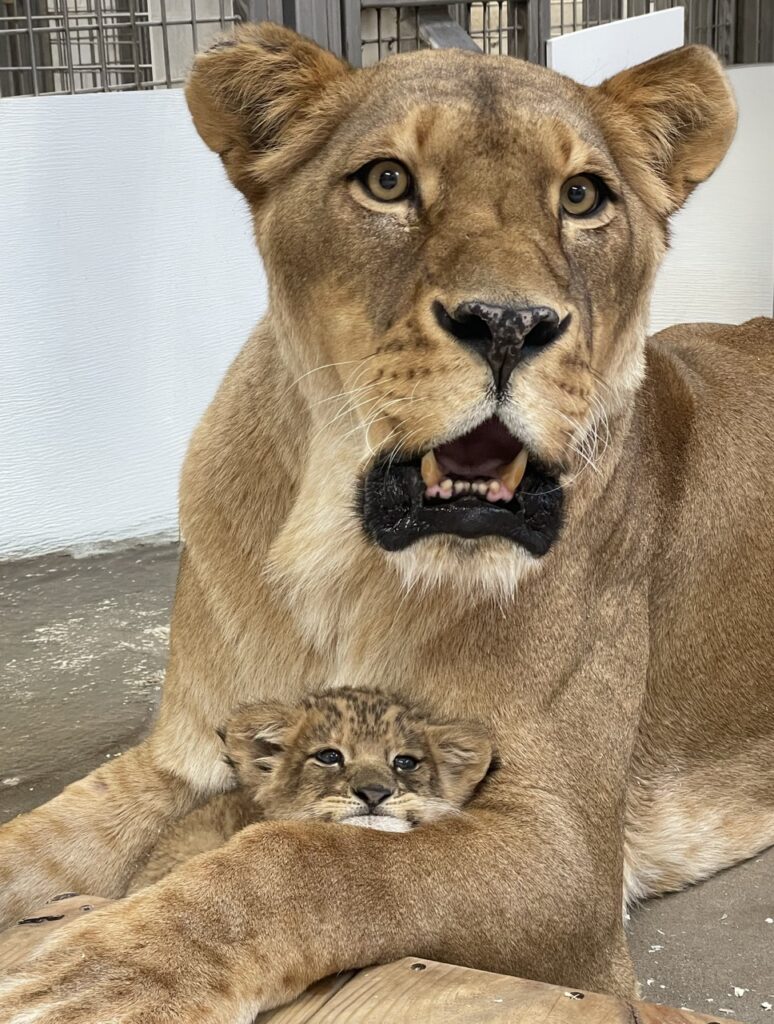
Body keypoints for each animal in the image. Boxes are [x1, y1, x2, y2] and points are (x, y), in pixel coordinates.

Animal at [1, 22, 773, 1024]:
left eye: (581, 196)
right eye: (387, 181)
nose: (509, 323)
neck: (341, 555)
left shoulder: (564, 854)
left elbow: (310, 859)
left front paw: (98, 981)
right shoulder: (179, 759)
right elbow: (35, 843)